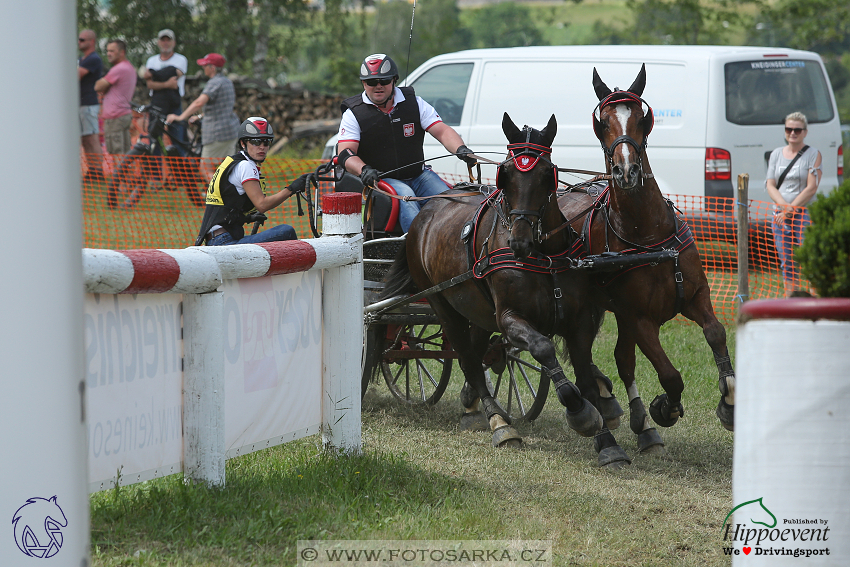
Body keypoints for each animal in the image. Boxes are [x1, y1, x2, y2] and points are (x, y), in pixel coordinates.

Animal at [384, 113, 628, 468]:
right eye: (506, 174)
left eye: (547, 175)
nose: (519, 242)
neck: (544, 255)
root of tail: (424, 214)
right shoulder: (511, 319)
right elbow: (543, 348)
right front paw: (579, 411)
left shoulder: (580, 321)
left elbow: (586, 377)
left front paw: (607, 442)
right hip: (443, 306)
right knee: (468, 359)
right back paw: (499, 423)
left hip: (476, 310)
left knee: (474, 351)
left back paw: (474, 405)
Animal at [556, 67, 736, 458]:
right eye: (603, 122)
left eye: (641, 118)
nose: (626, 171)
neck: (649, 236)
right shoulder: (641, 319)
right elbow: (669, 375)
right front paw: (664, 408)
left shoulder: (696, 295)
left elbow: (716, 332)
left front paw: (729, 400)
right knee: (595, 357)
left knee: (618, 360)